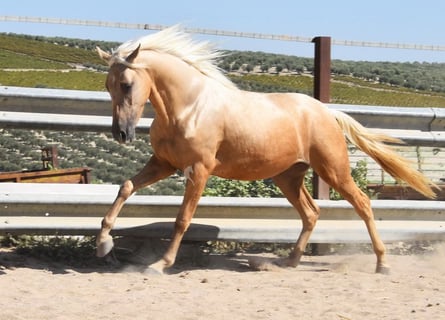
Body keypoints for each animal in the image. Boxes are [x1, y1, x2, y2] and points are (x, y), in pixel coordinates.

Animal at [96, 25, 434, 276]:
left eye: (126, 84)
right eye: (108, 85)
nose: (121, 134)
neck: (189, 107)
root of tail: (327, 112)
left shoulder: (200, 169)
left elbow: (182, 219)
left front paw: (160, 264)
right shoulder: (164, 163)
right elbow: (126, 187)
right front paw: (103, 244)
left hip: (333, 169)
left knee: (362, 203)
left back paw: (382, 263)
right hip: (289, 177)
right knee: (311, 213)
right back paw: (288, 261)